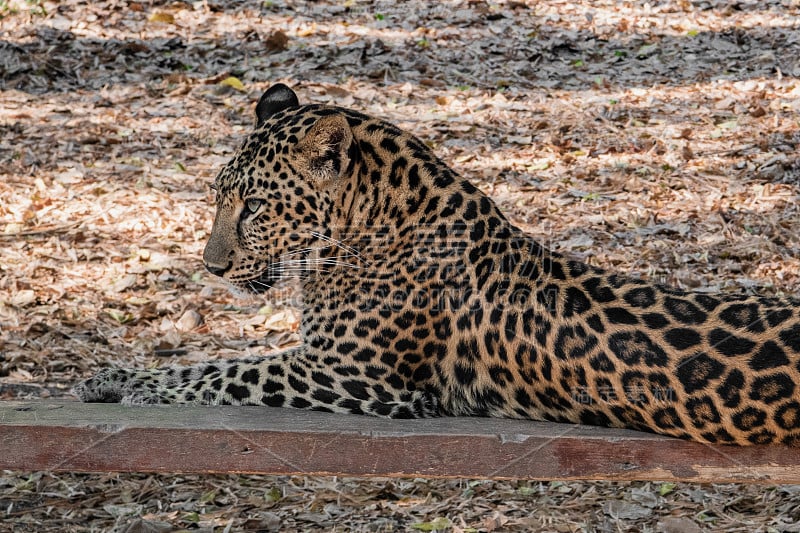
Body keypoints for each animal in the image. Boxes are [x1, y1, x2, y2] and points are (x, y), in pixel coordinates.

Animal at [75, 83, 800, 446]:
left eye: (252, 205)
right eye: (220, 196)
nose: (212, 266)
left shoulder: (351, 375)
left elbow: (231, 374)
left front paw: (145, 391)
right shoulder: (319, 359)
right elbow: (209, 360)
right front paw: (112, 376)